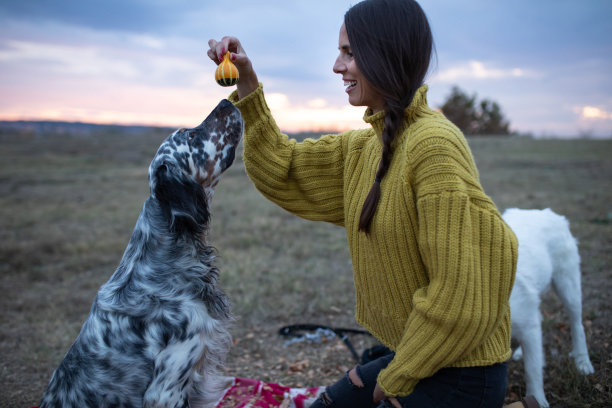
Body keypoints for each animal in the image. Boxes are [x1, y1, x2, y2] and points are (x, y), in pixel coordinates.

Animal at [502, 209, 592, 406]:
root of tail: (545, 212)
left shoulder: (527, 325)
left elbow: (533, 369)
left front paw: (537, 399)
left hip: (568, 286)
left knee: (577, 325)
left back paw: (583, 362)